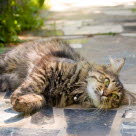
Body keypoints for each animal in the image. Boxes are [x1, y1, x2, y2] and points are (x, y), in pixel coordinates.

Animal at [0, 38, 134, 113]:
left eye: (115, 96)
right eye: (107, 81)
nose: (105, 93)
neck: (73, 86)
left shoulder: (49, 97)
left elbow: (39, 99)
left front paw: (23, 103)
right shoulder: (46, 66)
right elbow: (33, 84)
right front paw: (16, 96)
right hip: (6, 61)